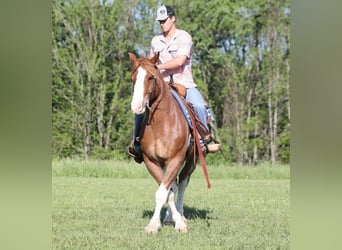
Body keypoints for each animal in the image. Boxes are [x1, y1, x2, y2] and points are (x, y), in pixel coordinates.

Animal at [128, 52, 198, 234]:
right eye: (133, 78)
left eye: (151, 77)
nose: (136, 106)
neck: (161, 124)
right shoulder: (151, 161)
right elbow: (166, 192)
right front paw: (157, 223)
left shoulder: (175, 159)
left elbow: (164, 192)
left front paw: (179, 224)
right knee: (173, 187)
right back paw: (170, 217)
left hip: (191, 161)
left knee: (182, 184)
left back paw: (181, 215)